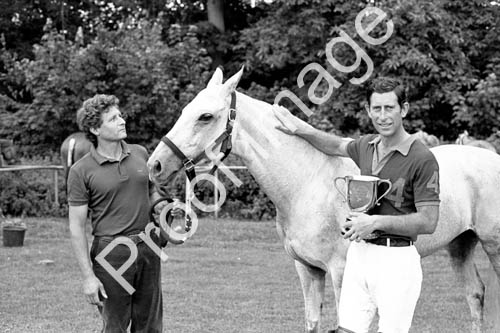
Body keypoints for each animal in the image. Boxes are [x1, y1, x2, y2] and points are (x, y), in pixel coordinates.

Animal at [146, 68, 500, 332]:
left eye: (205, 116)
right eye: (185, 111)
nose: (156, 165)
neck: (307, 183)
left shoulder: (341, 272)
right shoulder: (307, 269)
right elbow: (313, 322)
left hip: (492, 245)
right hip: (460, 245)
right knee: (475, 295)